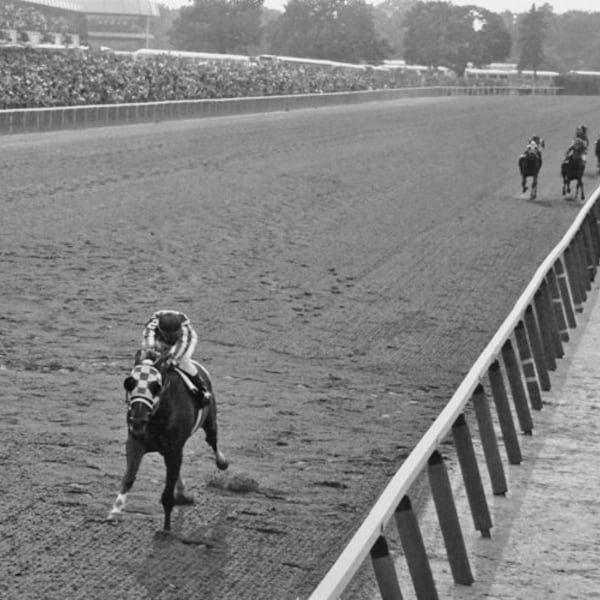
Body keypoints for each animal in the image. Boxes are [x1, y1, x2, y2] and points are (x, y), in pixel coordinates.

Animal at [106, 358, 229, 532]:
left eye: (155, 386)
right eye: (129, 383)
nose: (137, 419)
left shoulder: (174, 449)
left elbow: (168, 491)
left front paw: (166, 528)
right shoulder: (136, 441)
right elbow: (129, 476)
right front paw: (116, 510)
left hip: (210, 420)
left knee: (212, 440)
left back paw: (222, 462)